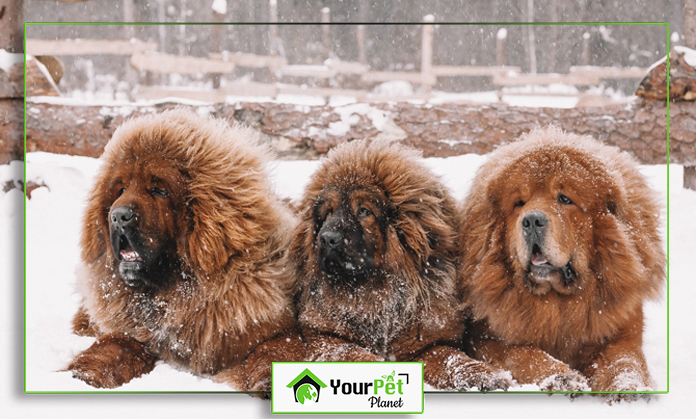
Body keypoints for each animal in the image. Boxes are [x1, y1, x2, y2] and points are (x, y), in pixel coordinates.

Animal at [68, 110, 304, 392]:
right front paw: (85, 372)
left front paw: (266, 382)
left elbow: (275, 349)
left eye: (159, 190)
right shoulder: (133, 332)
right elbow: (116, 343)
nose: (118, 216)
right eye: (121, 189)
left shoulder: (277, 326)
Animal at [456, 125, 664, 400]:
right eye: (519, 203)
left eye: (565, 199)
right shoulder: (485, 340)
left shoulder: (620, 335)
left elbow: (624, 362)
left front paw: (630, 388)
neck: (559, 302)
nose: (532, 220)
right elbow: (524, 354)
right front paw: (563, 378)